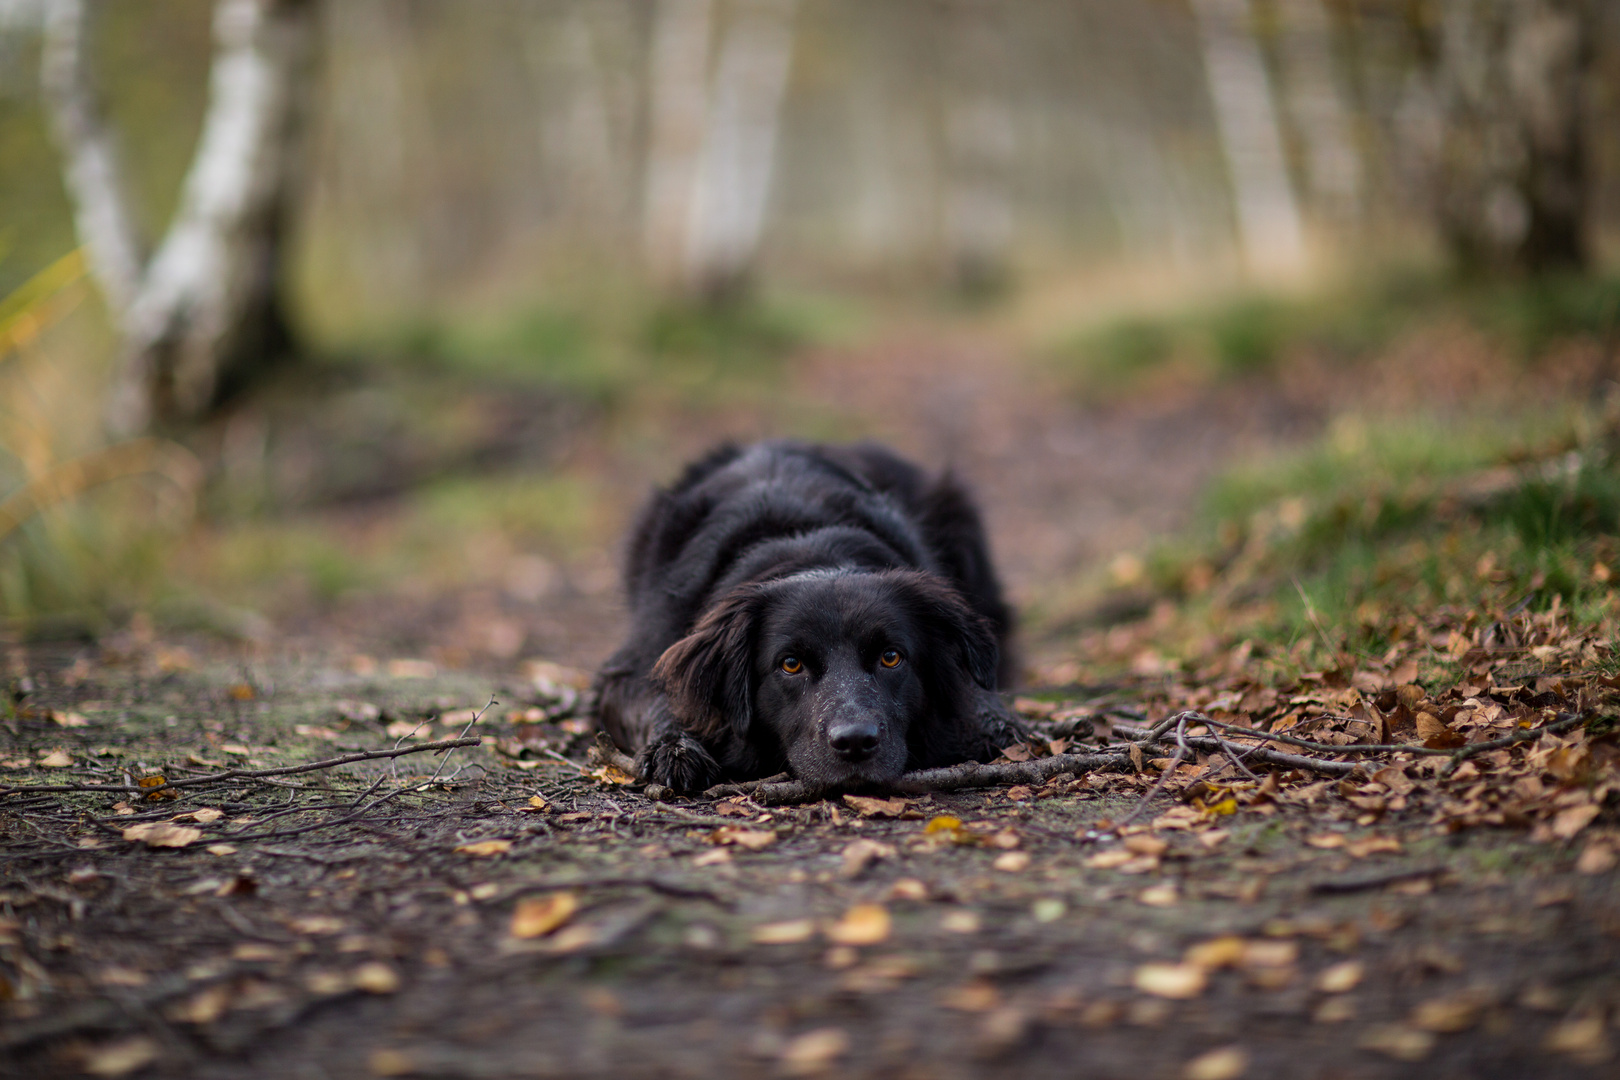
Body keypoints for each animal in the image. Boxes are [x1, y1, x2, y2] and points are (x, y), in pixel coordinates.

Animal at [596, 440, 1023, 793]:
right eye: (790, 664)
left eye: (891, 657)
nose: (855, 742)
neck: (810, 550)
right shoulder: (631, 666)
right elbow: (658, 701)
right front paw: (674, 748)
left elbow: (975, 691)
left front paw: (994, 722)